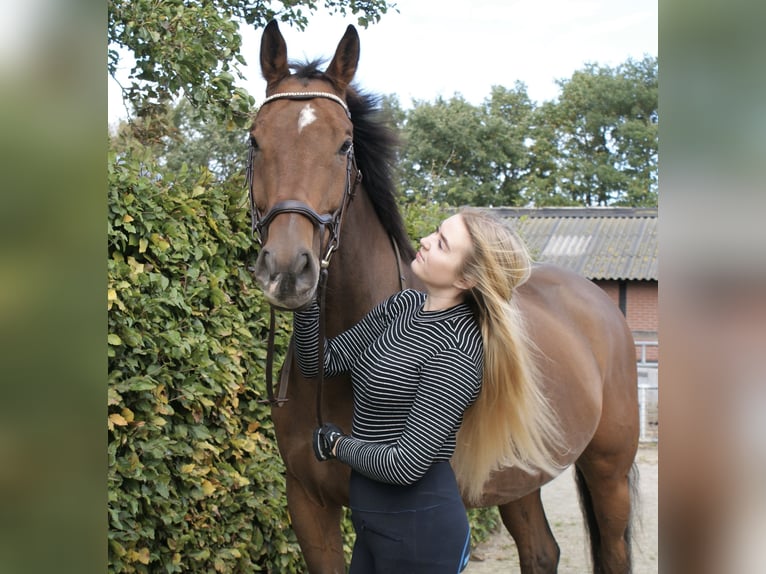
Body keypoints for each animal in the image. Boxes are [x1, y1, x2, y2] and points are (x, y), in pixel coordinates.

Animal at [248, 20, 639, 574]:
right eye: (255, 140)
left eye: (344, 145)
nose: (287, 269)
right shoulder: (308, 506)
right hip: (518, 476)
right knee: (541, 551)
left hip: (608, 470)